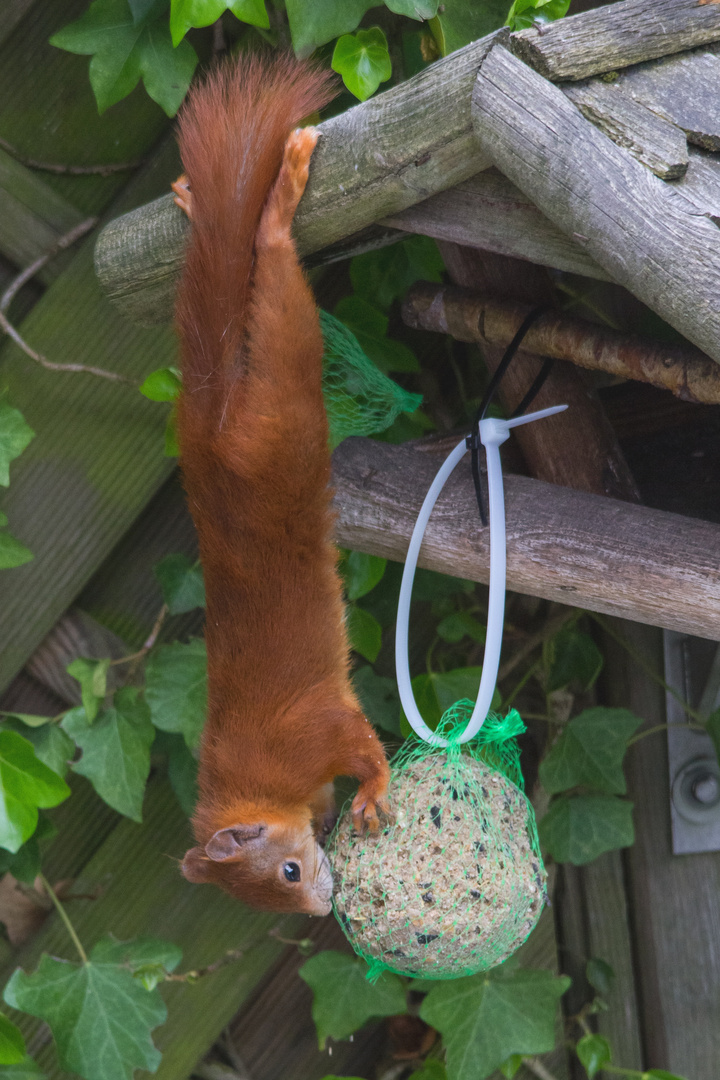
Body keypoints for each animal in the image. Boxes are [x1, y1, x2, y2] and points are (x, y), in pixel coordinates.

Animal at [172, 56, 390, 920]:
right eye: (271, 896)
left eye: (289, 873)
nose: (321, 912)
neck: (256, 783)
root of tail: (209, 424)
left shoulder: (316, 731)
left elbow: (363, 747)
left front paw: (376, 791)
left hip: (285, 410)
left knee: (273, 274)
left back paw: (277, 195)